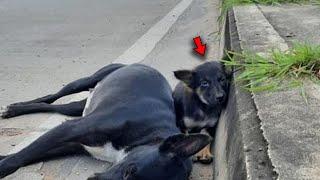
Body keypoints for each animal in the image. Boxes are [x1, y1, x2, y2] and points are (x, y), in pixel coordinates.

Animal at [0, 63, 210, 179]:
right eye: (129, 171)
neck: (149, 134)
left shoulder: (75, 144)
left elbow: (27, 154)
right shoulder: (71, 129)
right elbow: (20, 156)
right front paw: (3, 165)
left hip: (81, 106)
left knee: (58, 107)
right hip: (86, 81)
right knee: (53, 96)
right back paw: (14, 109)